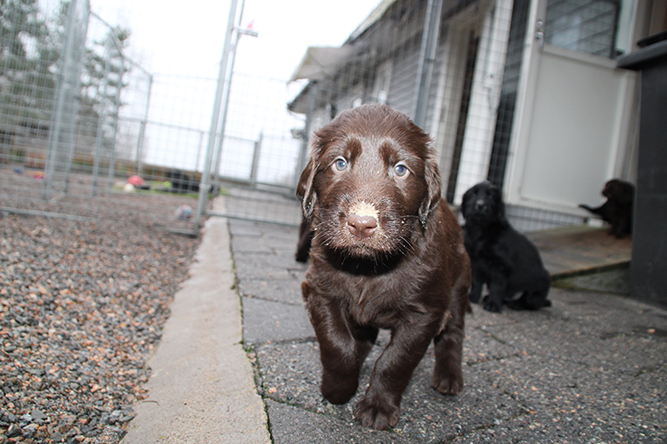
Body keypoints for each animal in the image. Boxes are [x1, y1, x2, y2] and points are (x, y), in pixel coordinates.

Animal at [296, 104, 472, 430]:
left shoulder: (424, 314)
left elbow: (395, 361)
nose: (361, 223)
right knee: (362, 334)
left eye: (400, 169)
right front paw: (338, 389)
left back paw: (449, 377)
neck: (368, 267)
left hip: (459, 287)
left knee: (453, 333)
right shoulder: (321, 290)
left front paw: (377, 407)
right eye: (340, 163)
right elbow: (338, 343)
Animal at [461, 181, 551, 313]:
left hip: (539, 283)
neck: (481, 231)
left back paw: (517, 304)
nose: (480, 205)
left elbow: (497, 286)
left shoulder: (501, 266)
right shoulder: (475, 262)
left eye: (491, 197)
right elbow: (476, 282)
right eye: (473, 194)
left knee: (530, 302)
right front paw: (472, 297)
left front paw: (493, 305)